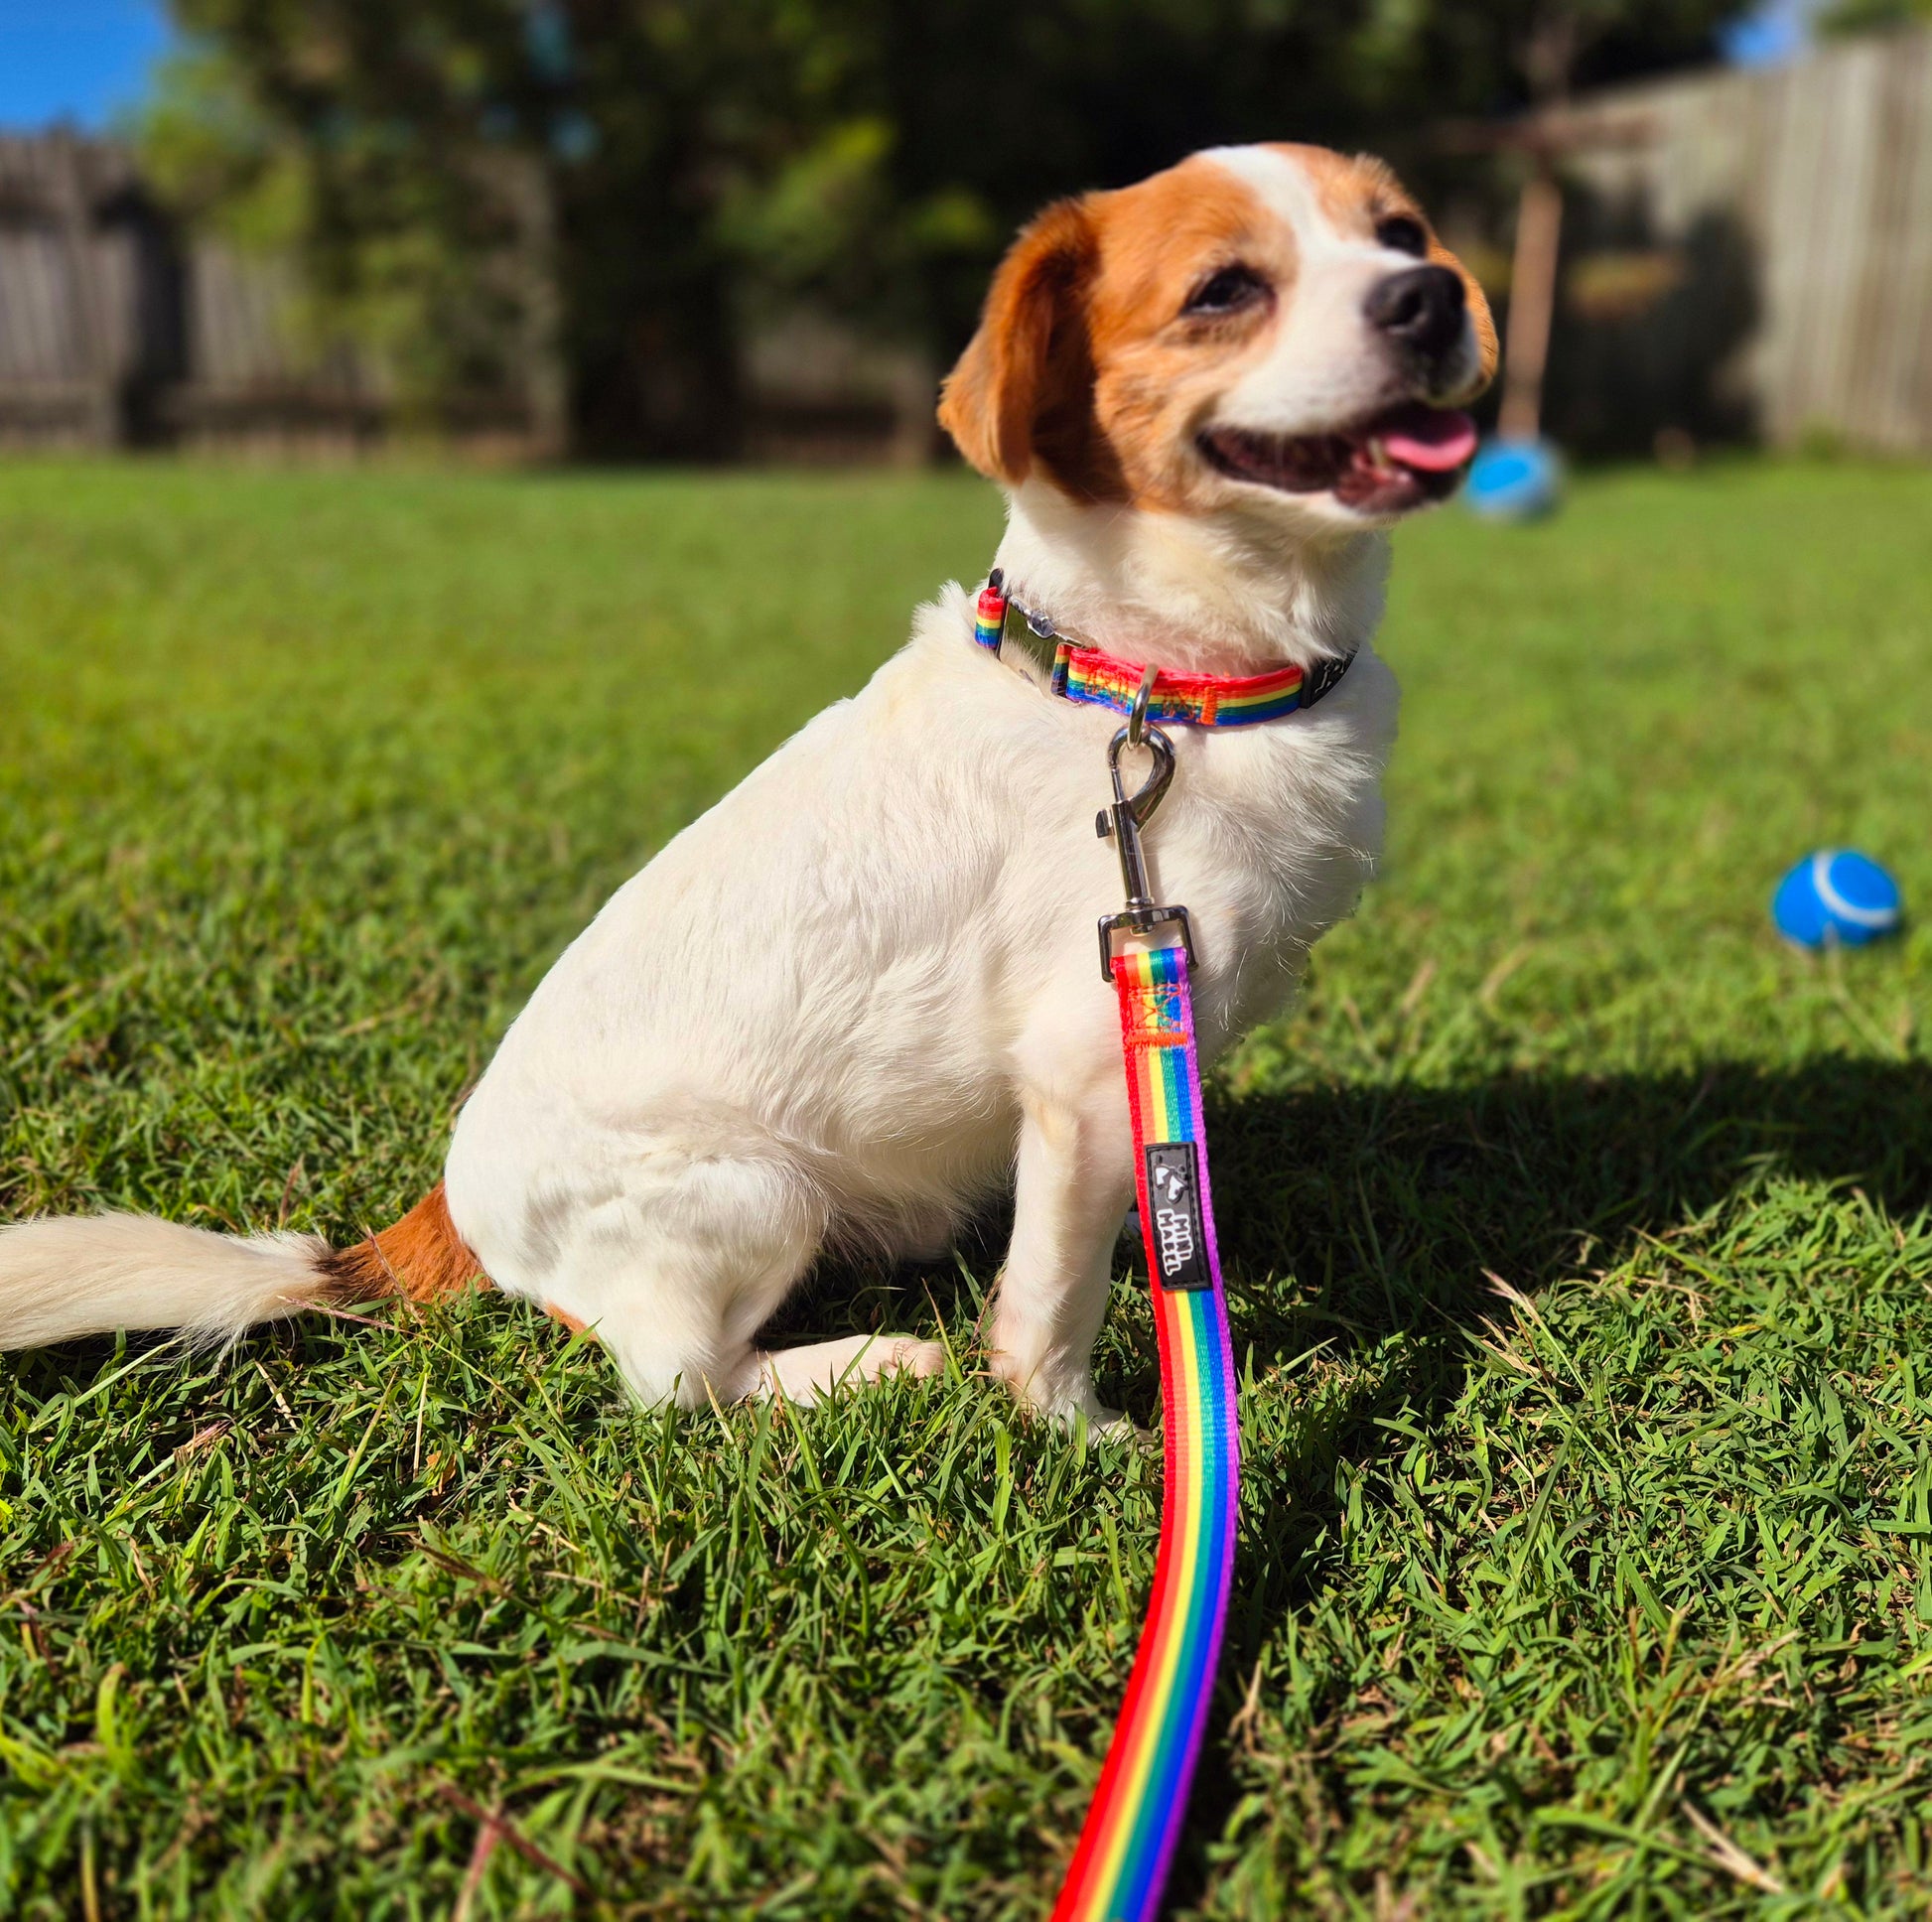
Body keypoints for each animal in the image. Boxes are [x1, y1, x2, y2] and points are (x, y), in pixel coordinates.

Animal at [0, 142, 1491, 1429]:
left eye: (1400, 233)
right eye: (1223, 289)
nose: (1430, 296)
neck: (1157, 683)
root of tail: (444, 1213)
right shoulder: (1082, 1064)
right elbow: (1053, 1305)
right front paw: (1085, 1435)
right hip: (760, 1191)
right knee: (679, 1383)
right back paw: (864, 1365)